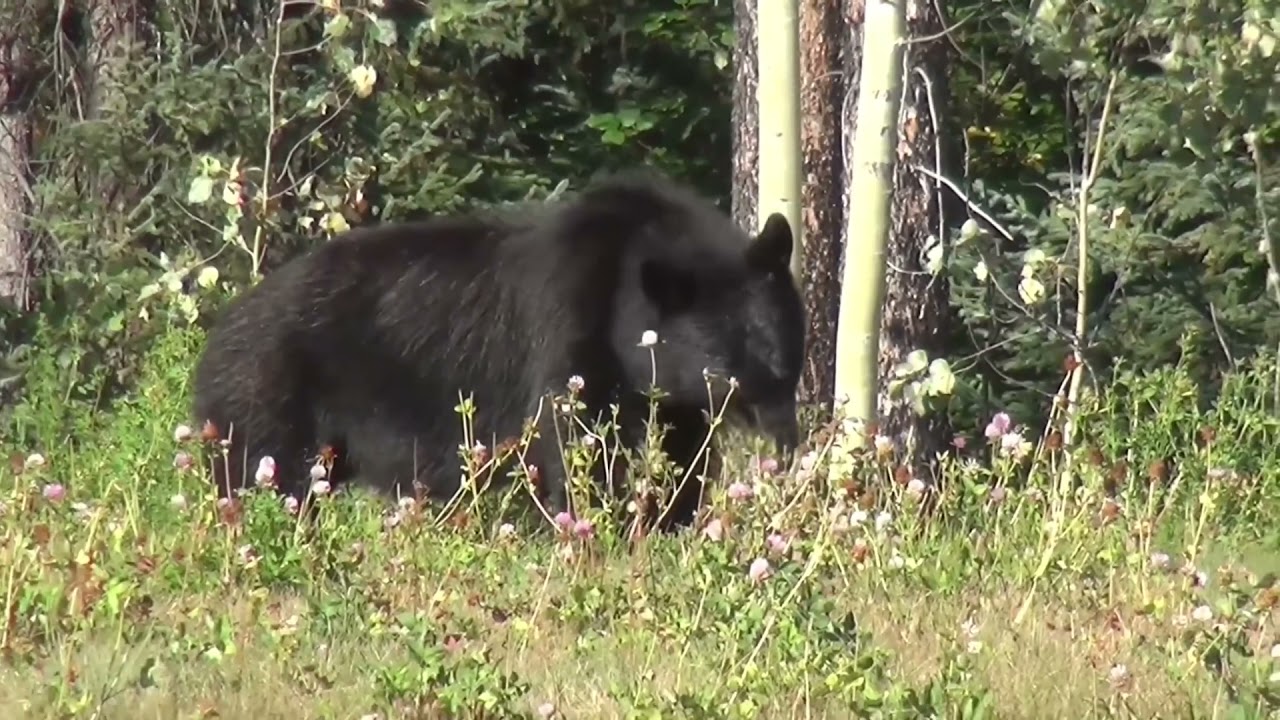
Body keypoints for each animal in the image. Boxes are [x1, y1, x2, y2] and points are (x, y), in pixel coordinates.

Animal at [190, 169, 805, 531]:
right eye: (725, 371)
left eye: (785, 362)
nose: (785, 443)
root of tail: (217, 335)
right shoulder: (570, 335)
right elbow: (577, 446)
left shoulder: (671, 400)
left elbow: (684, 456)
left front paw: (670, 522)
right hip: (269, 400)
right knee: (263, 478)